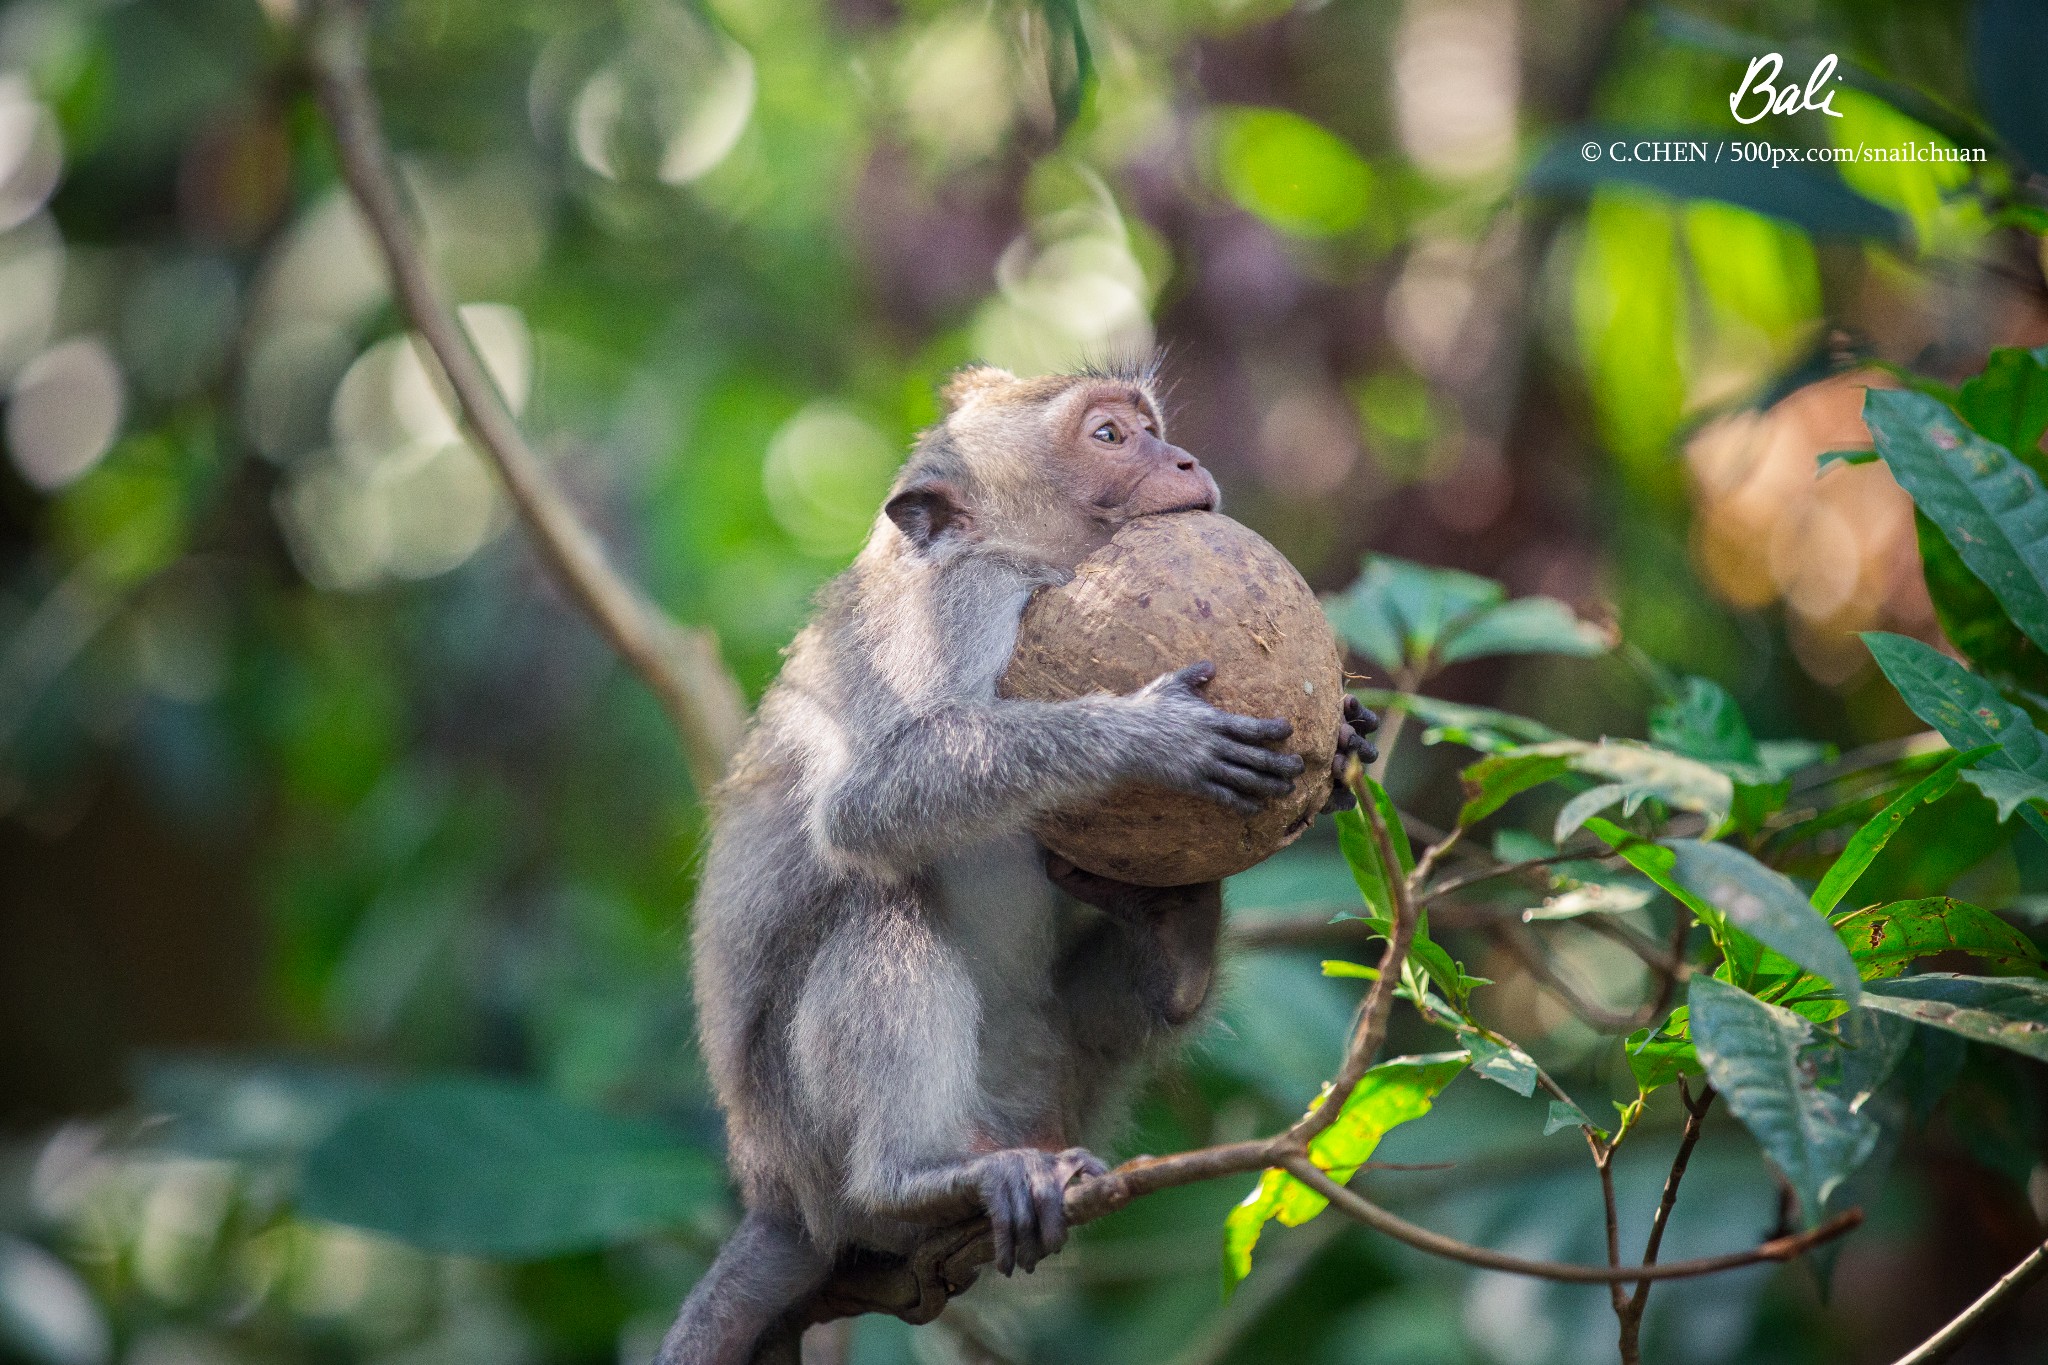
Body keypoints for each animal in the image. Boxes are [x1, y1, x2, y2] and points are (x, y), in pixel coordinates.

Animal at [663, 362, 1384, 1365]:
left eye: (1148, 425)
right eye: (1111, 436)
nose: (1185, 459)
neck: (1022, 562)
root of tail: (775, 1197)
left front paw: (1349, 733)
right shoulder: (956, 607)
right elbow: (865, 800)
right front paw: (1144, 736)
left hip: (1056, 1079)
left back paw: (1180, 946)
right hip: (813, 1140)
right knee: (880, 906)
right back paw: (918, 1178)